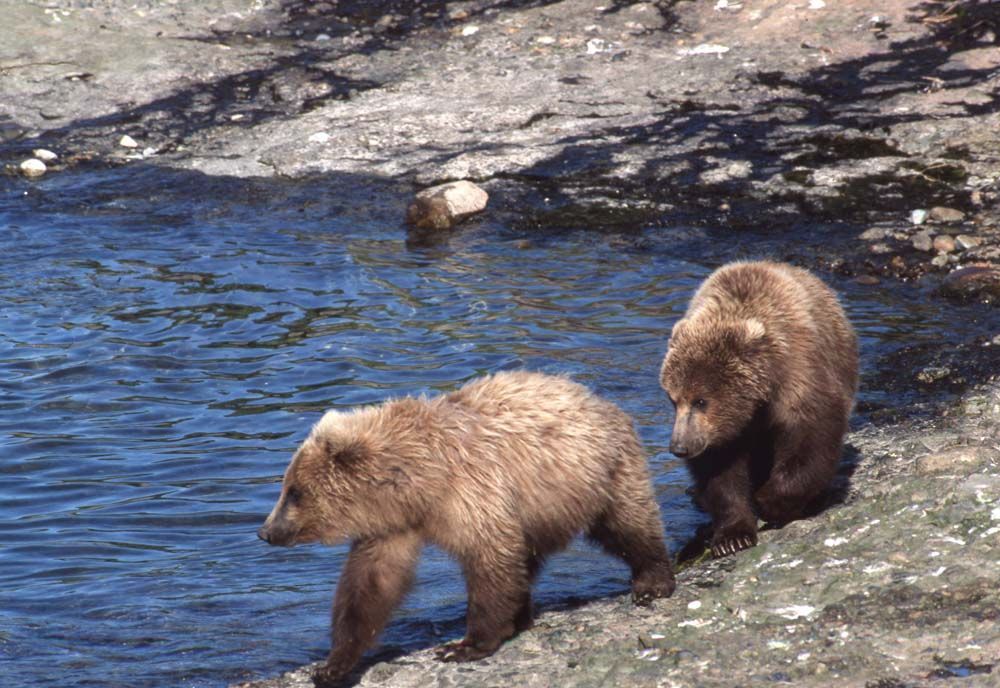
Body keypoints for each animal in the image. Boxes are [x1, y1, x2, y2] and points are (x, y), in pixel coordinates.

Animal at [257, 370, 675, 687]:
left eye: (293, 492)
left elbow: (490, 560)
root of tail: (599, 398)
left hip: (598, 473)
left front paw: (464, 645)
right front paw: (332, 665)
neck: (417, 483)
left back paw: (652, 580)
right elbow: (370, 585)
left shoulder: (474, 492)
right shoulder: (393, 527)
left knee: (627, 522)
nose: (265, 531)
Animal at [659, 260, 858, 559]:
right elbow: (721, 473)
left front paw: (769, 501)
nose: (679, 447)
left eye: (701, 401)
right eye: (674, 399)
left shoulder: (800, 380)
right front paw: (732, 536)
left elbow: (811, 439)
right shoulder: (722, 433)